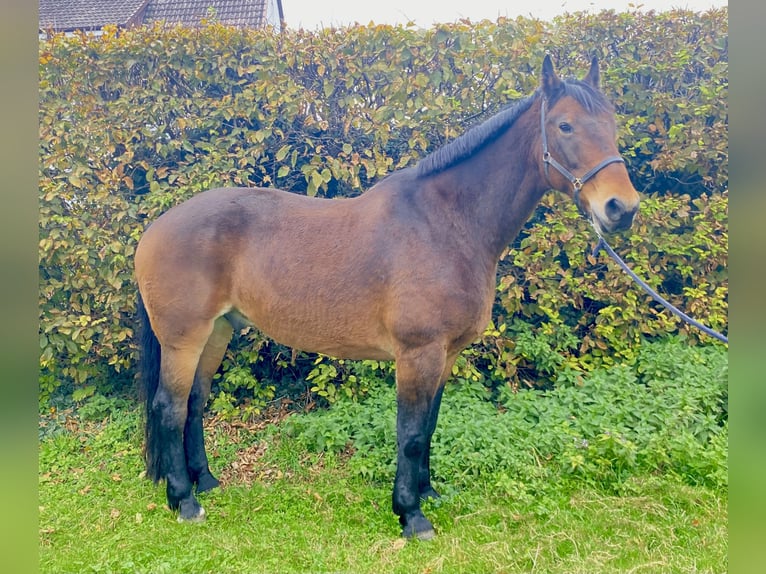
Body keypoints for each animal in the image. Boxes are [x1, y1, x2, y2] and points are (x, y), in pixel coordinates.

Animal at [136, 56, 640, 544]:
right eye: (565, 126)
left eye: (612, 123)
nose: (622, 208)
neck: (445, 223)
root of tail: (155, 228)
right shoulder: (418, 353)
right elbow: (411, 433)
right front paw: (411, 515)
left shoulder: (446, 355)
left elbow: (430, 425)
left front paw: (428, 492)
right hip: (185, 338)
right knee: (170, 408)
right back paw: (185, 501)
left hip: (217, 332)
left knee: (195, 402)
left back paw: (206, 481)